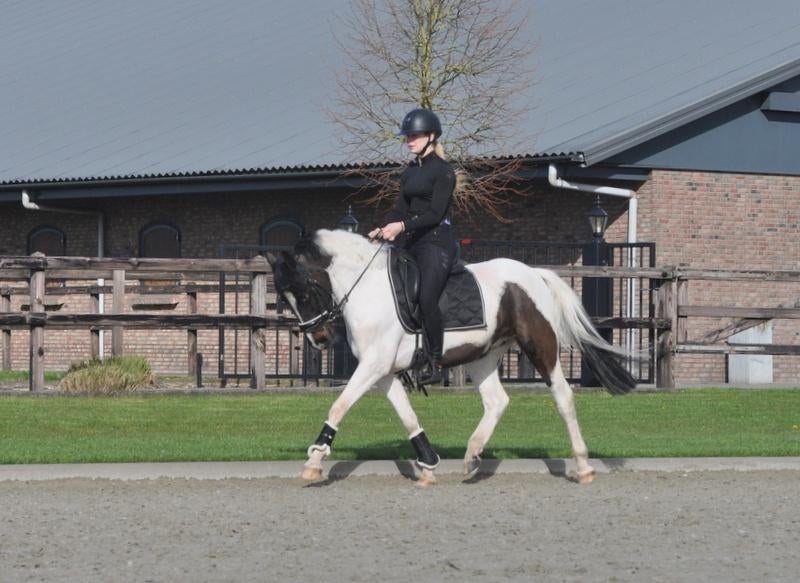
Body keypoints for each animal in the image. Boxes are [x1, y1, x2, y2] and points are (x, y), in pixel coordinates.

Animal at [266, 229, 637, 486]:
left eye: (304, 292)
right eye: (284, 297)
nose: (320, 339)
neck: (367, 287)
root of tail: (533, 273)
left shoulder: (374, 366)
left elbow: (339, 406)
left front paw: (314, 461)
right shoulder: (383, 371)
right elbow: (407, 415)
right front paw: (428, 464)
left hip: (540, 346)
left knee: (562, 396)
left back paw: (583, 465)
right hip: (482, 355)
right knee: (497, 401)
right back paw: (472, 456)